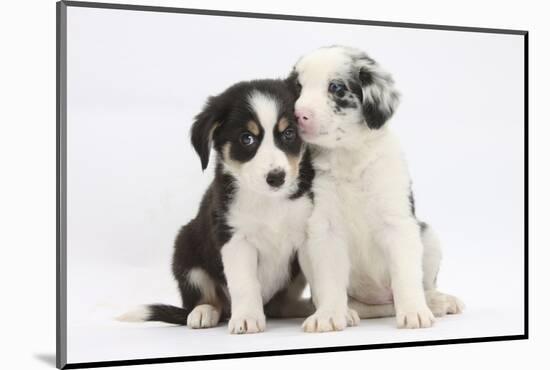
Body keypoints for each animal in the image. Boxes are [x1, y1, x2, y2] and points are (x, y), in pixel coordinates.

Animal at [122, 79, 320, 334]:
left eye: (289, 133)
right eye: (247, 138)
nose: (276, 178)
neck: (268, 200)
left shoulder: (306, 234)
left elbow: (321, 279)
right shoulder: (235, 239)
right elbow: (245, 283)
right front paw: (246, 318)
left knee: (280, 306)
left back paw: (302, 307)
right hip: (186, 250)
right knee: (207, 301)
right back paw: (203, 313)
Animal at [288, 44, 466, 330]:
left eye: (336, 88)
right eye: (298, 87)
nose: (298, 115)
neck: (350, 157)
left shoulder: (398, 223)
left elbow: (406, 276)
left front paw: (414, 311)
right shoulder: (325, 229)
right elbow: (330, 282)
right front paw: (329, 314)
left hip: (428, 235)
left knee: (423, 285)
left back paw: (437, 301)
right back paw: (349, 311)